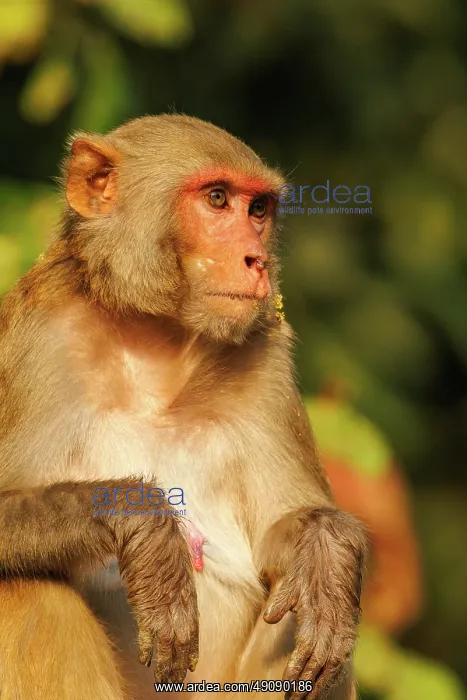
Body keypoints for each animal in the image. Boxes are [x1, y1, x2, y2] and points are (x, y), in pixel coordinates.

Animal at [0, 114, 367, 700]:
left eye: (258, 210)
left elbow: (281, 542)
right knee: (29, 585)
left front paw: (325, 546)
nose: (256, 260)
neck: (157, 346)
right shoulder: (39, 339)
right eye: (217, 199)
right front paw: (145, 527)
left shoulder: (266, 360)